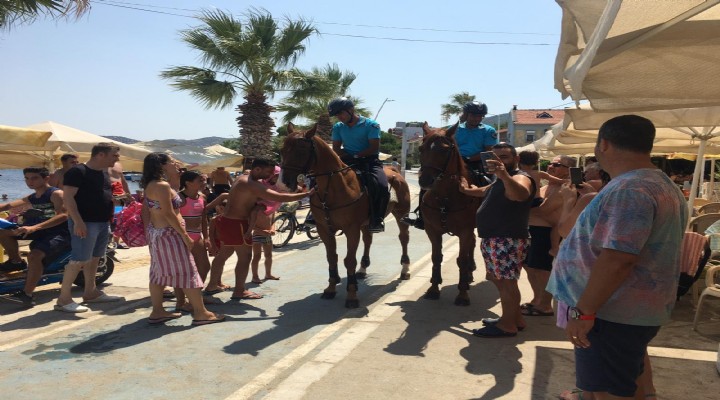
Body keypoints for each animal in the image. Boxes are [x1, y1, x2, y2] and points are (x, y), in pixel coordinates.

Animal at [278, 123, 410, 308]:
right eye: (282, 150)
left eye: (300, 151)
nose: (284, 183)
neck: (334, 188)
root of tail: (394, 171)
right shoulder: (325, 229)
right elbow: (332, 257)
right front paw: (331, 288)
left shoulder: (351, 230)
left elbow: (349, 260)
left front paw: (352, 295)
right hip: (367, 223)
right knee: (368, 240)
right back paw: (362, 269)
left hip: (401, 215)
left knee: (403, 238)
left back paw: (405, 269)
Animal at [420, 122, 480, 306]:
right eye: (421, 148)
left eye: (445, 150)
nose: (425, 181)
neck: (445, 197)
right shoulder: (432, 231)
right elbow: (436, 257)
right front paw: (433, 288)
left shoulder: (465, 231)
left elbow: (461, 260)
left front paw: (462, 294)